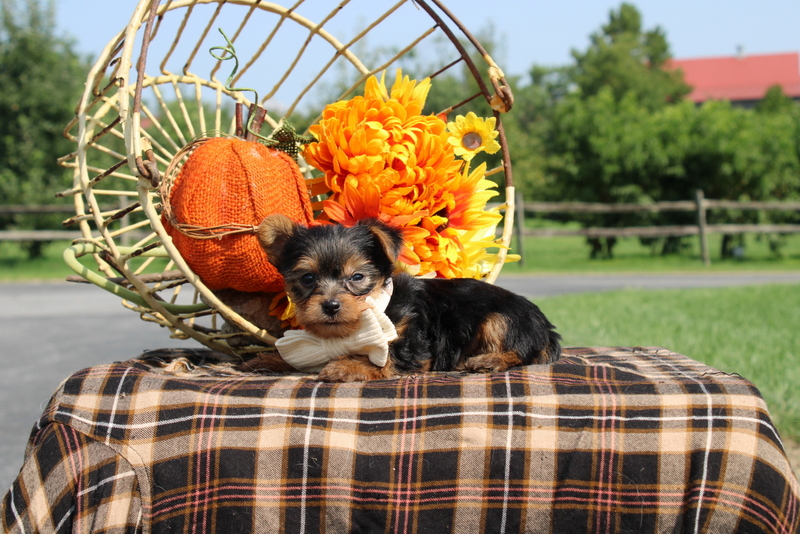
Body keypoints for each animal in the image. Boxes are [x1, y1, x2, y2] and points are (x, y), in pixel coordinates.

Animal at [252, 216, 564, 384]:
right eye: (307, 278)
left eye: (357, 277)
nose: (330, 305)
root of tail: (547, 329)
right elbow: (303, 358)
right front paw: (270, 358)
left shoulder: (414, 348)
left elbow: (384, 362)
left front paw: (346, 366)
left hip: (501, 319)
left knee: (522, 352)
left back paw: (489, 360)